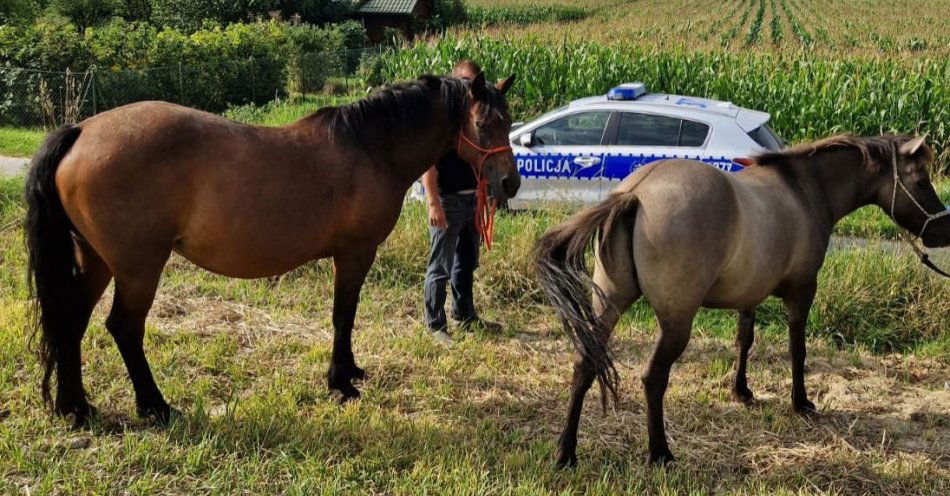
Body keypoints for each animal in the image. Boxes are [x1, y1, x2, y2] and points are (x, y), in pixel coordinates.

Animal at [24, 70, 520, 426]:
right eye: (484, 123)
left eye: (509, 121)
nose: (509, 183)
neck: (371, 148)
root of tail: (81, 130)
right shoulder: (354, 253)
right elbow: (344, 315)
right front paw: (340, 382)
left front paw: (349, 372)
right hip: (138, 267)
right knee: (124, 327)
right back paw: (156, 407)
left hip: (97, 261)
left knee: (71, 321)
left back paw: (76, 408)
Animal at [540, 135, 950, 464]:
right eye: (920, 179)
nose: (941, 232)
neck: (804, 190)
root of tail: (635, 193)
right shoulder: (802, 291)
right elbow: (797, 349)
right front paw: (800, 402)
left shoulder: (748, 294)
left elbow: (744, 340)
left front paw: (742, 391)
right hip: (675, 321)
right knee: (652, 377)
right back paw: (660, 452)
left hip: (608, 304)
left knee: (585, 365)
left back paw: (565, 452)